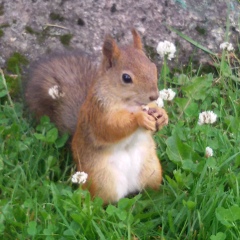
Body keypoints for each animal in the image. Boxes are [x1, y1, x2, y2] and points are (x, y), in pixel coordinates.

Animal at [25, 29, 168, 203]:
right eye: (126, 78)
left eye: (153, 67)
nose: (154, 95)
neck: (130, 104)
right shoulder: (98, 113)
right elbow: (111, 128)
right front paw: (139, 118)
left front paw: (162, 115)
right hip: (103, 180)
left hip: (151, 171)